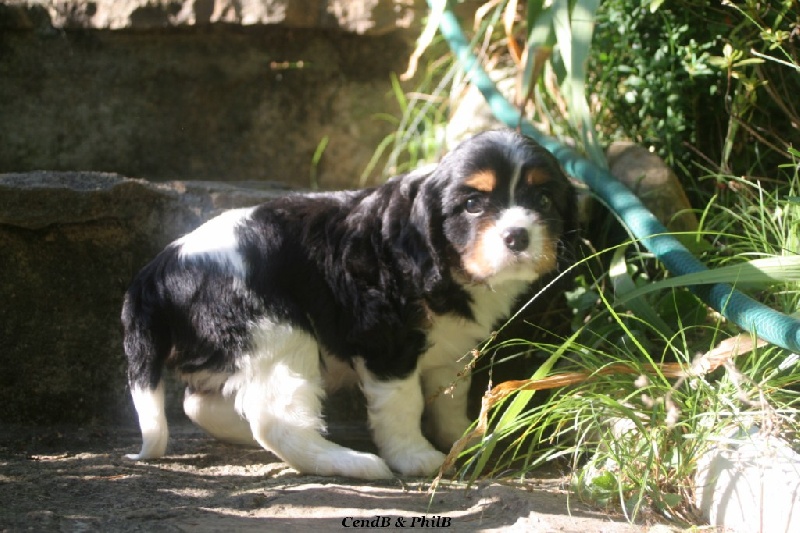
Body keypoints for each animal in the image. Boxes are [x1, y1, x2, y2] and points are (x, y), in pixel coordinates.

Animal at [122, 129, 576, 478]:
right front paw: (415, 456)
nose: (517, 236)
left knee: (201, 404)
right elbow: (403, 404)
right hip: (276, 334)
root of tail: (155, 273)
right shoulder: (386, 341)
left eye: (544, 201)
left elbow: (449, 396)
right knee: (275, 422)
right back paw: (352, 463)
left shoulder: (452, 349)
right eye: (473, 204)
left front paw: (465, 439)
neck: (439, 259)